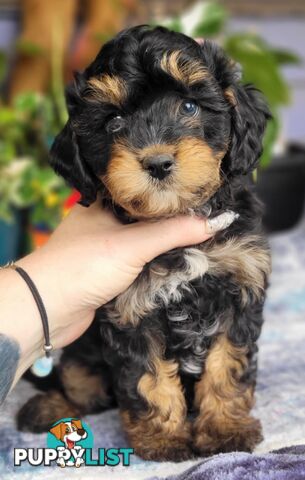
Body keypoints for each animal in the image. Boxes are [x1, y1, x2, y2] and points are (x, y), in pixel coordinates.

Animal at [17, 26, 270, 462]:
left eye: (189, 106)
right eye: (114, 121)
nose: (157, 163)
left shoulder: (241, 287)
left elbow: (227, 367)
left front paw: (225, 430)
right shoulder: (130, 309)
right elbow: (148, 378)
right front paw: (164, 439)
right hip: (82, 355)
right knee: (80, 387)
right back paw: (50, 408)